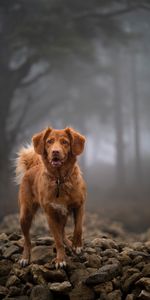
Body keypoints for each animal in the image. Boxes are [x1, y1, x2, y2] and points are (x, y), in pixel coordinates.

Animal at [15, 126, 86, 268]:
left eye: (65, 142)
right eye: (49, 141)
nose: (55, 152)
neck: (60, 180)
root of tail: (32, 167)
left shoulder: (79, 206)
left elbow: (78, 228)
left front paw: (77, 245)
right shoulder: (51, 214)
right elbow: (57, 240)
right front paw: (60, 259)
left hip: (63, 215)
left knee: (63, 231)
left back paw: (69, 244)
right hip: (25, 215)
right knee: (27, 240)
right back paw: (25, 258)